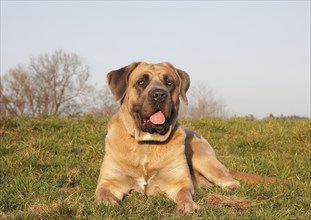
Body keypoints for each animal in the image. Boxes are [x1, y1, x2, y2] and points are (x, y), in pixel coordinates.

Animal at [95, 62, 241, 213]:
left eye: (169, 83)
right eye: (141, 82)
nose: (159, 94)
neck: (148, 142)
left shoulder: (178, 182)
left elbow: (184, 192)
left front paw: (187, 205)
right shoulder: (110, 181)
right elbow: (103, 192)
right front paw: (107, 202)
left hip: (202, 159)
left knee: (231, 180)